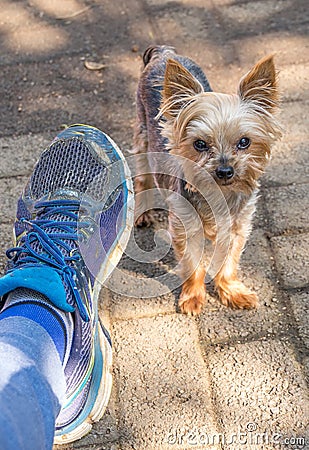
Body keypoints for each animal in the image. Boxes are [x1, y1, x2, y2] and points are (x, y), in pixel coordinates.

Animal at [132, 44, 280, 312]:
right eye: (200, 144)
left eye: (244, 142)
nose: (225, 171)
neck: (220, 193)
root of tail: (164, 53)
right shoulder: (185, 227)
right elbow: (193, 263)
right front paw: (192, 297)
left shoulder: (237, 227)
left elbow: (229, 262)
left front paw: (232, 292)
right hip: (143, 134)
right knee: (142, 177)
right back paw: (142, 213)